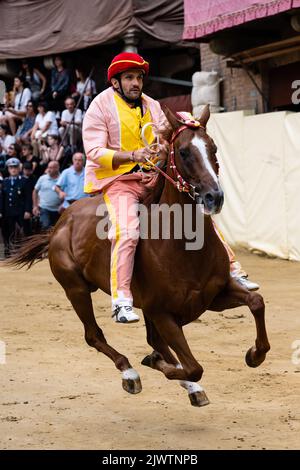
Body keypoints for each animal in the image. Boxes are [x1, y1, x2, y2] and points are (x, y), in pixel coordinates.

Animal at [7, 105, 270, 404]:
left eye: (213, 147)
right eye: (183, 151)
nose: (214, 197)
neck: (182, 246)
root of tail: (60, 224)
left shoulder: (213, 295)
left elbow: (256, 302)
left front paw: (254, 354)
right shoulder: (162, 312)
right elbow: (193, 366)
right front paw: (158, 365)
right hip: (75, 289)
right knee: (94, 335)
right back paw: (130, 371)